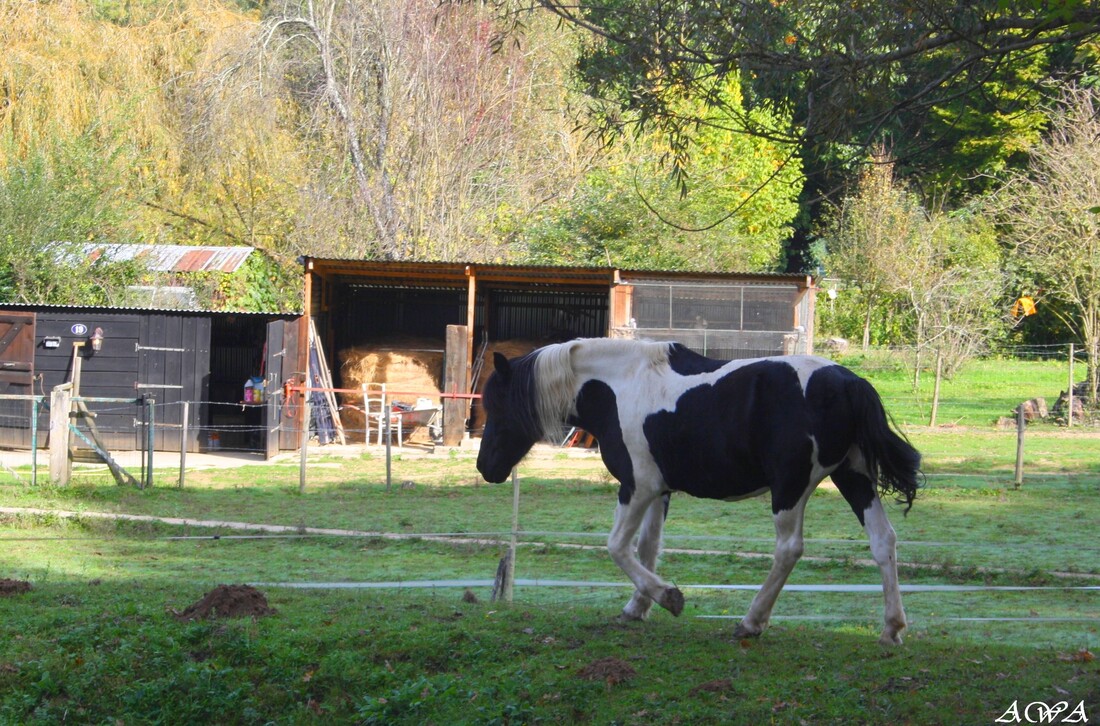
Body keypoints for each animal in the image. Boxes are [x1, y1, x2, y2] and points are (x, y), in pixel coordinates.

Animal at [477, 336, 924, 642]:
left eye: (497, 405)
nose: (485, 468)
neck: (618, 386)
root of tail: (849, 382)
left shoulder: (636, 487)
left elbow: (618, 547)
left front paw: (668, 597)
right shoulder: (659, 492)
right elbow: (647, 548)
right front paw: (638, 607)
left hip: (791, 487)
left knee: (789, 550)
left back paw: (751, 621)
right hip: (853, 478)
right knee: (883, 541)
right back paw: (892, 628)